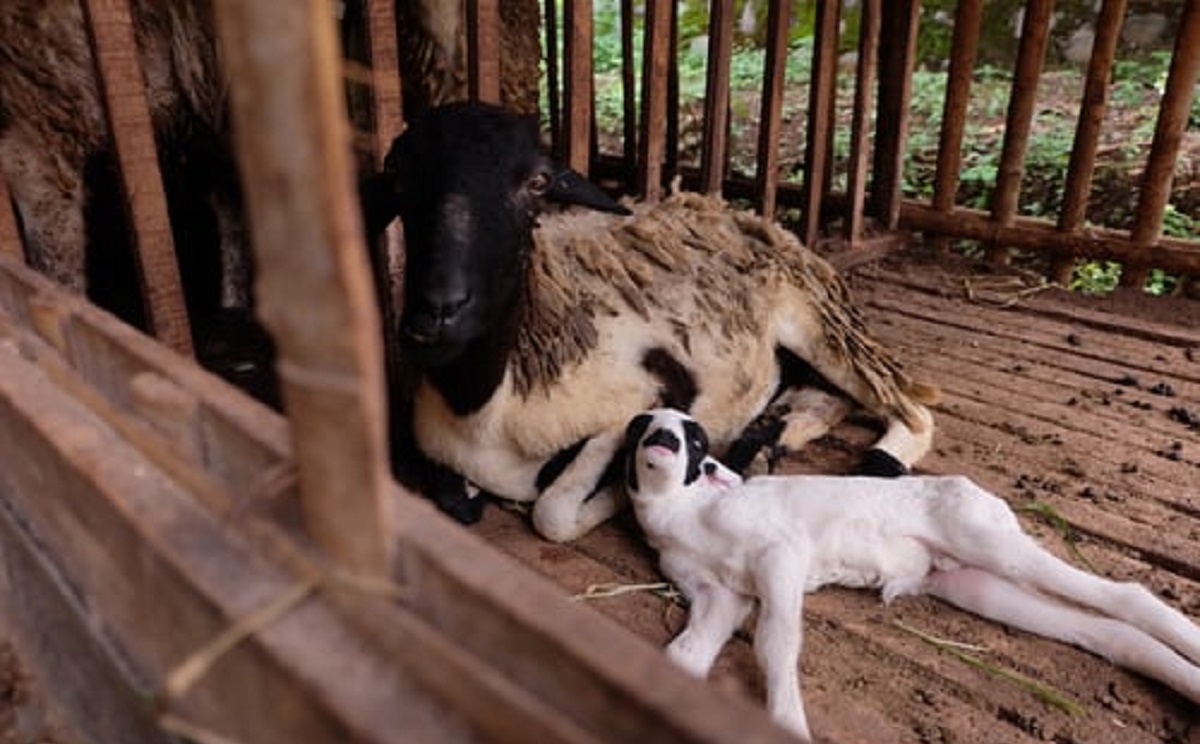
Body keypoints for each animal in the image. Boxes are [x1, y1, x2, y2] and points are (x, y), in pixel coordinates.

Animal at [381, 101, 939, 542]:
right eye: (398, 177)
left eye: (537, 182)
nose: (436, 311)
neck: (487, 402)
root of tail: (740, 214)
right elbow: (454, 500)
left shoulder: (648, 396)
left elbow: (553, 513)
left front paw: (613, 500)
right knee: (824, 400)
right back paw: (764, 441)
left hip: (818, 327)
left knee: (909, 409)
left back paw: (876, 457)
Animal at [623, 408, 1200, 742]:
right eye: (639, 425)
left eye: (697, 439)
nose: (664, 439)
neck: (684, 513)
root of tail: (984, 497)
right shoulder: (718, 593)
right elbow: (684, 656)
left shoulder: (780, 554)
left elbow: (775, 644)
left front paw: (788, 725)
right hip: (974, 582)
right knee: (1109, 631)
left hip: (981, 537)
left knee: (1126, 595)